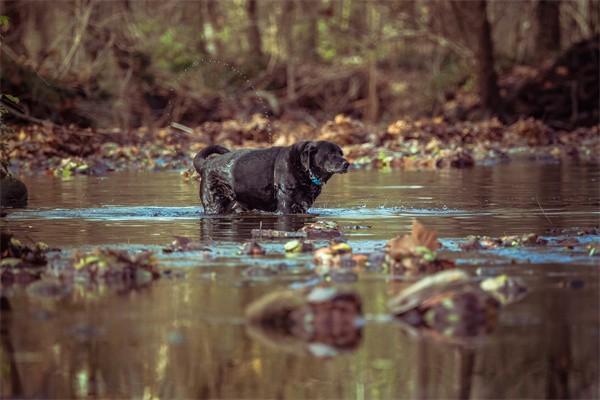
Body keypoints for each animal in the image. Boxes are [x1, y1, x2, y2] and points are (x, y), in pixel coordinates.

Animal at [195, 141, 350, 214]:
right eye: (330, 154)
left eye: (341, 153)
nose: (347, 163)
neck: (302, 167)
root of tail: (206, 164)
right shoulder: (286, 204)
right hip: (214, 204)